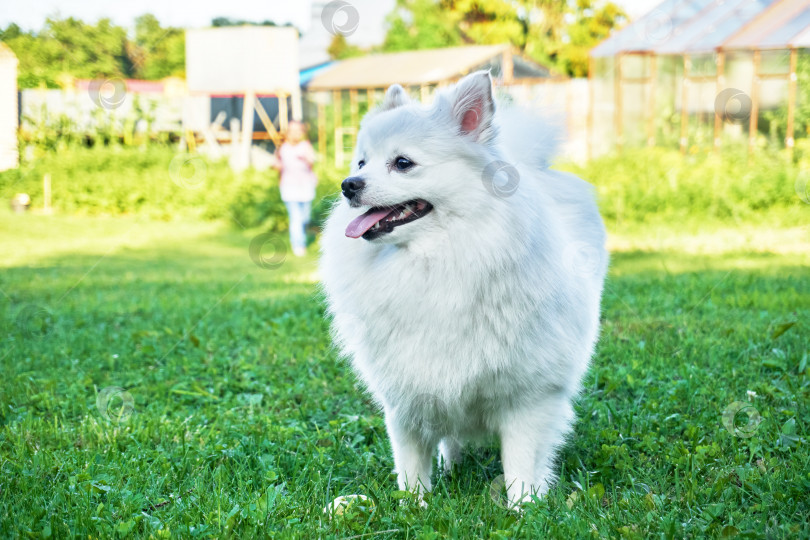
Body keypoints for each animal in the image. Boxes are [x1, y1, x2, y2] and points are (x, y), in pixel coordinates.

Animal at [318, 69, 604, 504]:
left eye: (403, 163)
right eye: (362, 162)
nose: (348, 184)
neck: (437, 263)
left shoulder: (530, 397)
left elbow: (520, 463)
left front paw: (522, 509)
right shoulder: (405, 396)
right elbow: (411, 461)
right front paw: (414, 506)